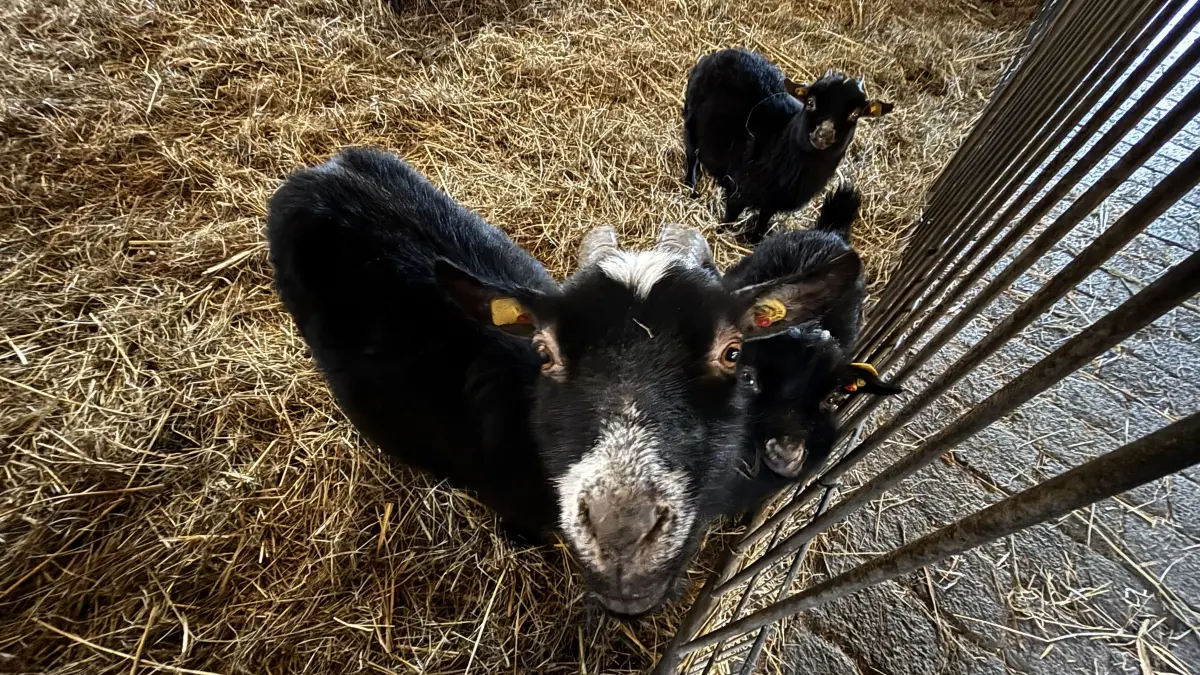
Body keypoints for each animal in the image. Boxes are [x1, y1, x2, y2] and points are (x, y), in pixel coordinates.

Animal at [683, 48, 894, 244]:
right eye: (810, 102)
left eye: (855, 114)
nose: (823, 134)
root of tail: (721, 53)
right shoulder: (739, 189)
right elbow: (729, 219)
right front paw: (718, 234)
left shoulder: (772, 202)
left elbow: (762, 222)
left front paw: (754, 241)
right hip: (691, 119)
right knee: (692, 154)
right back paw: (690, 188)